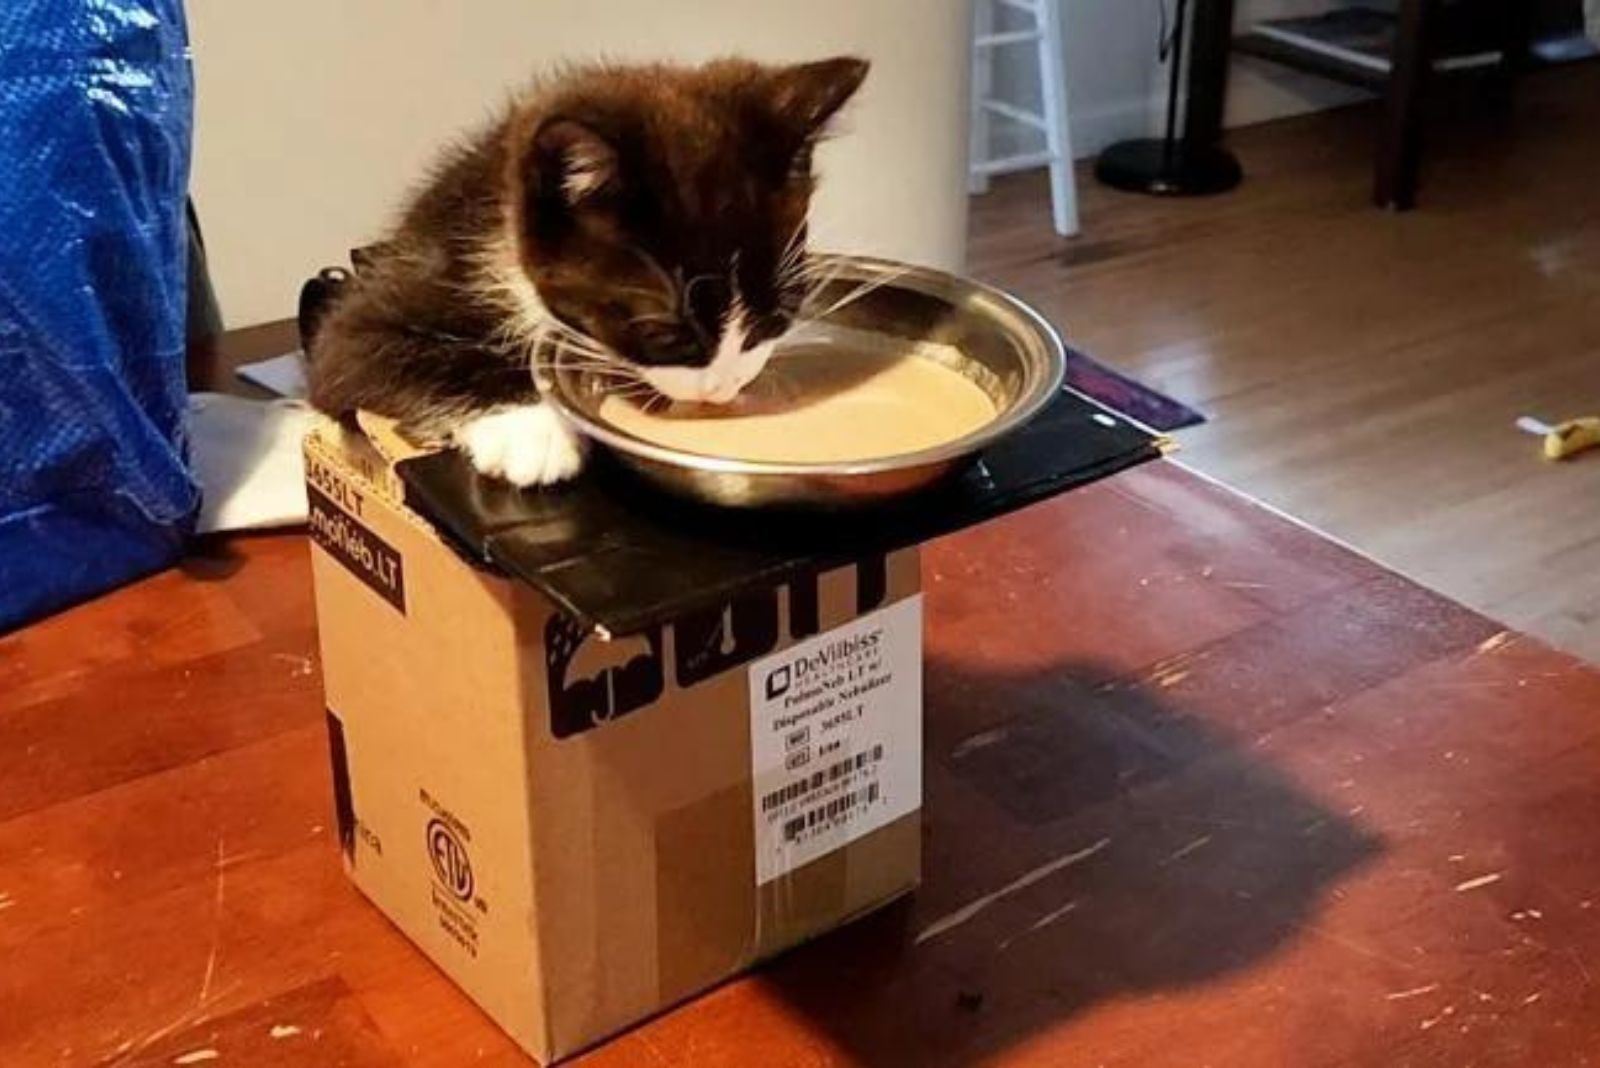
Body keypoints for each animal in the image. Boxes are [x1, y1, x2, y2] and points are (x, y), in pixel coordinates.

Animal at [304, 58, 870, 489]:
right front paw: (531, 429)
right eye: (663, 333)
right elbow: (371, 353)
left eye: (779, 315)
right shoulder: (368, 316)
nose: (721, 390)